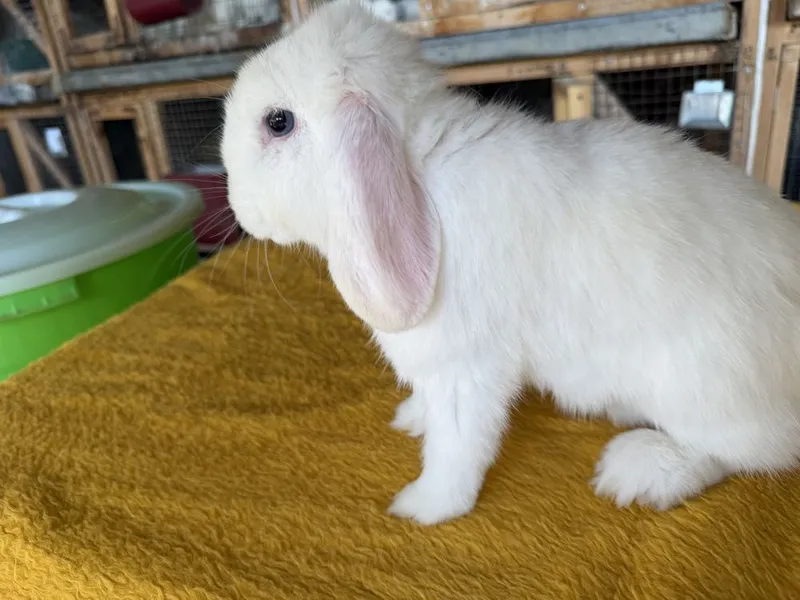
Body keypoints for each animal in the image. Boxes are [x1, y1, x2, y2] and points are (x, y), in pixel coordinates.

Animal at [221, 0, 800, 525]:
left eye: (278, 122)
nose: (238, 208)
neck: (419, 176)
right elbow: (432, 411)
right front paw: (411, 419)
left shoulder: (466, 368)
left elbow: (457, 445)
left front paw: (423, 507)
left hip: (706, 387)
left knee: (745, 453)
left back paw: (638, 471)